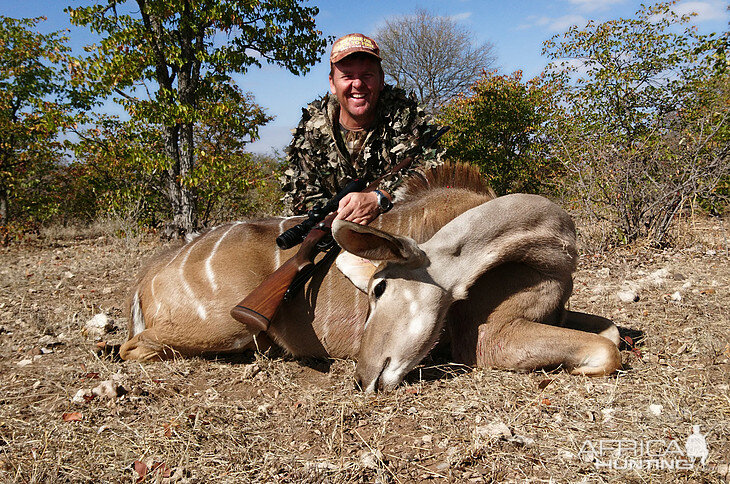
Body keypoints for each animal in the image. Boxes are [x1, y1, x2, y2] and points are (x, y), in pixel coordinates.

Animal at [121, 163, 620, 390]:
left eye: (380, 287)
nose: (364, 377)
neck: (550, 253)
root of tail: (150, 274)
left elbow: (612, 332)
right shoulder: (489, 338)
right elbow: (608, 350)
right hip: (227, 328)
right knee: (131, 349)